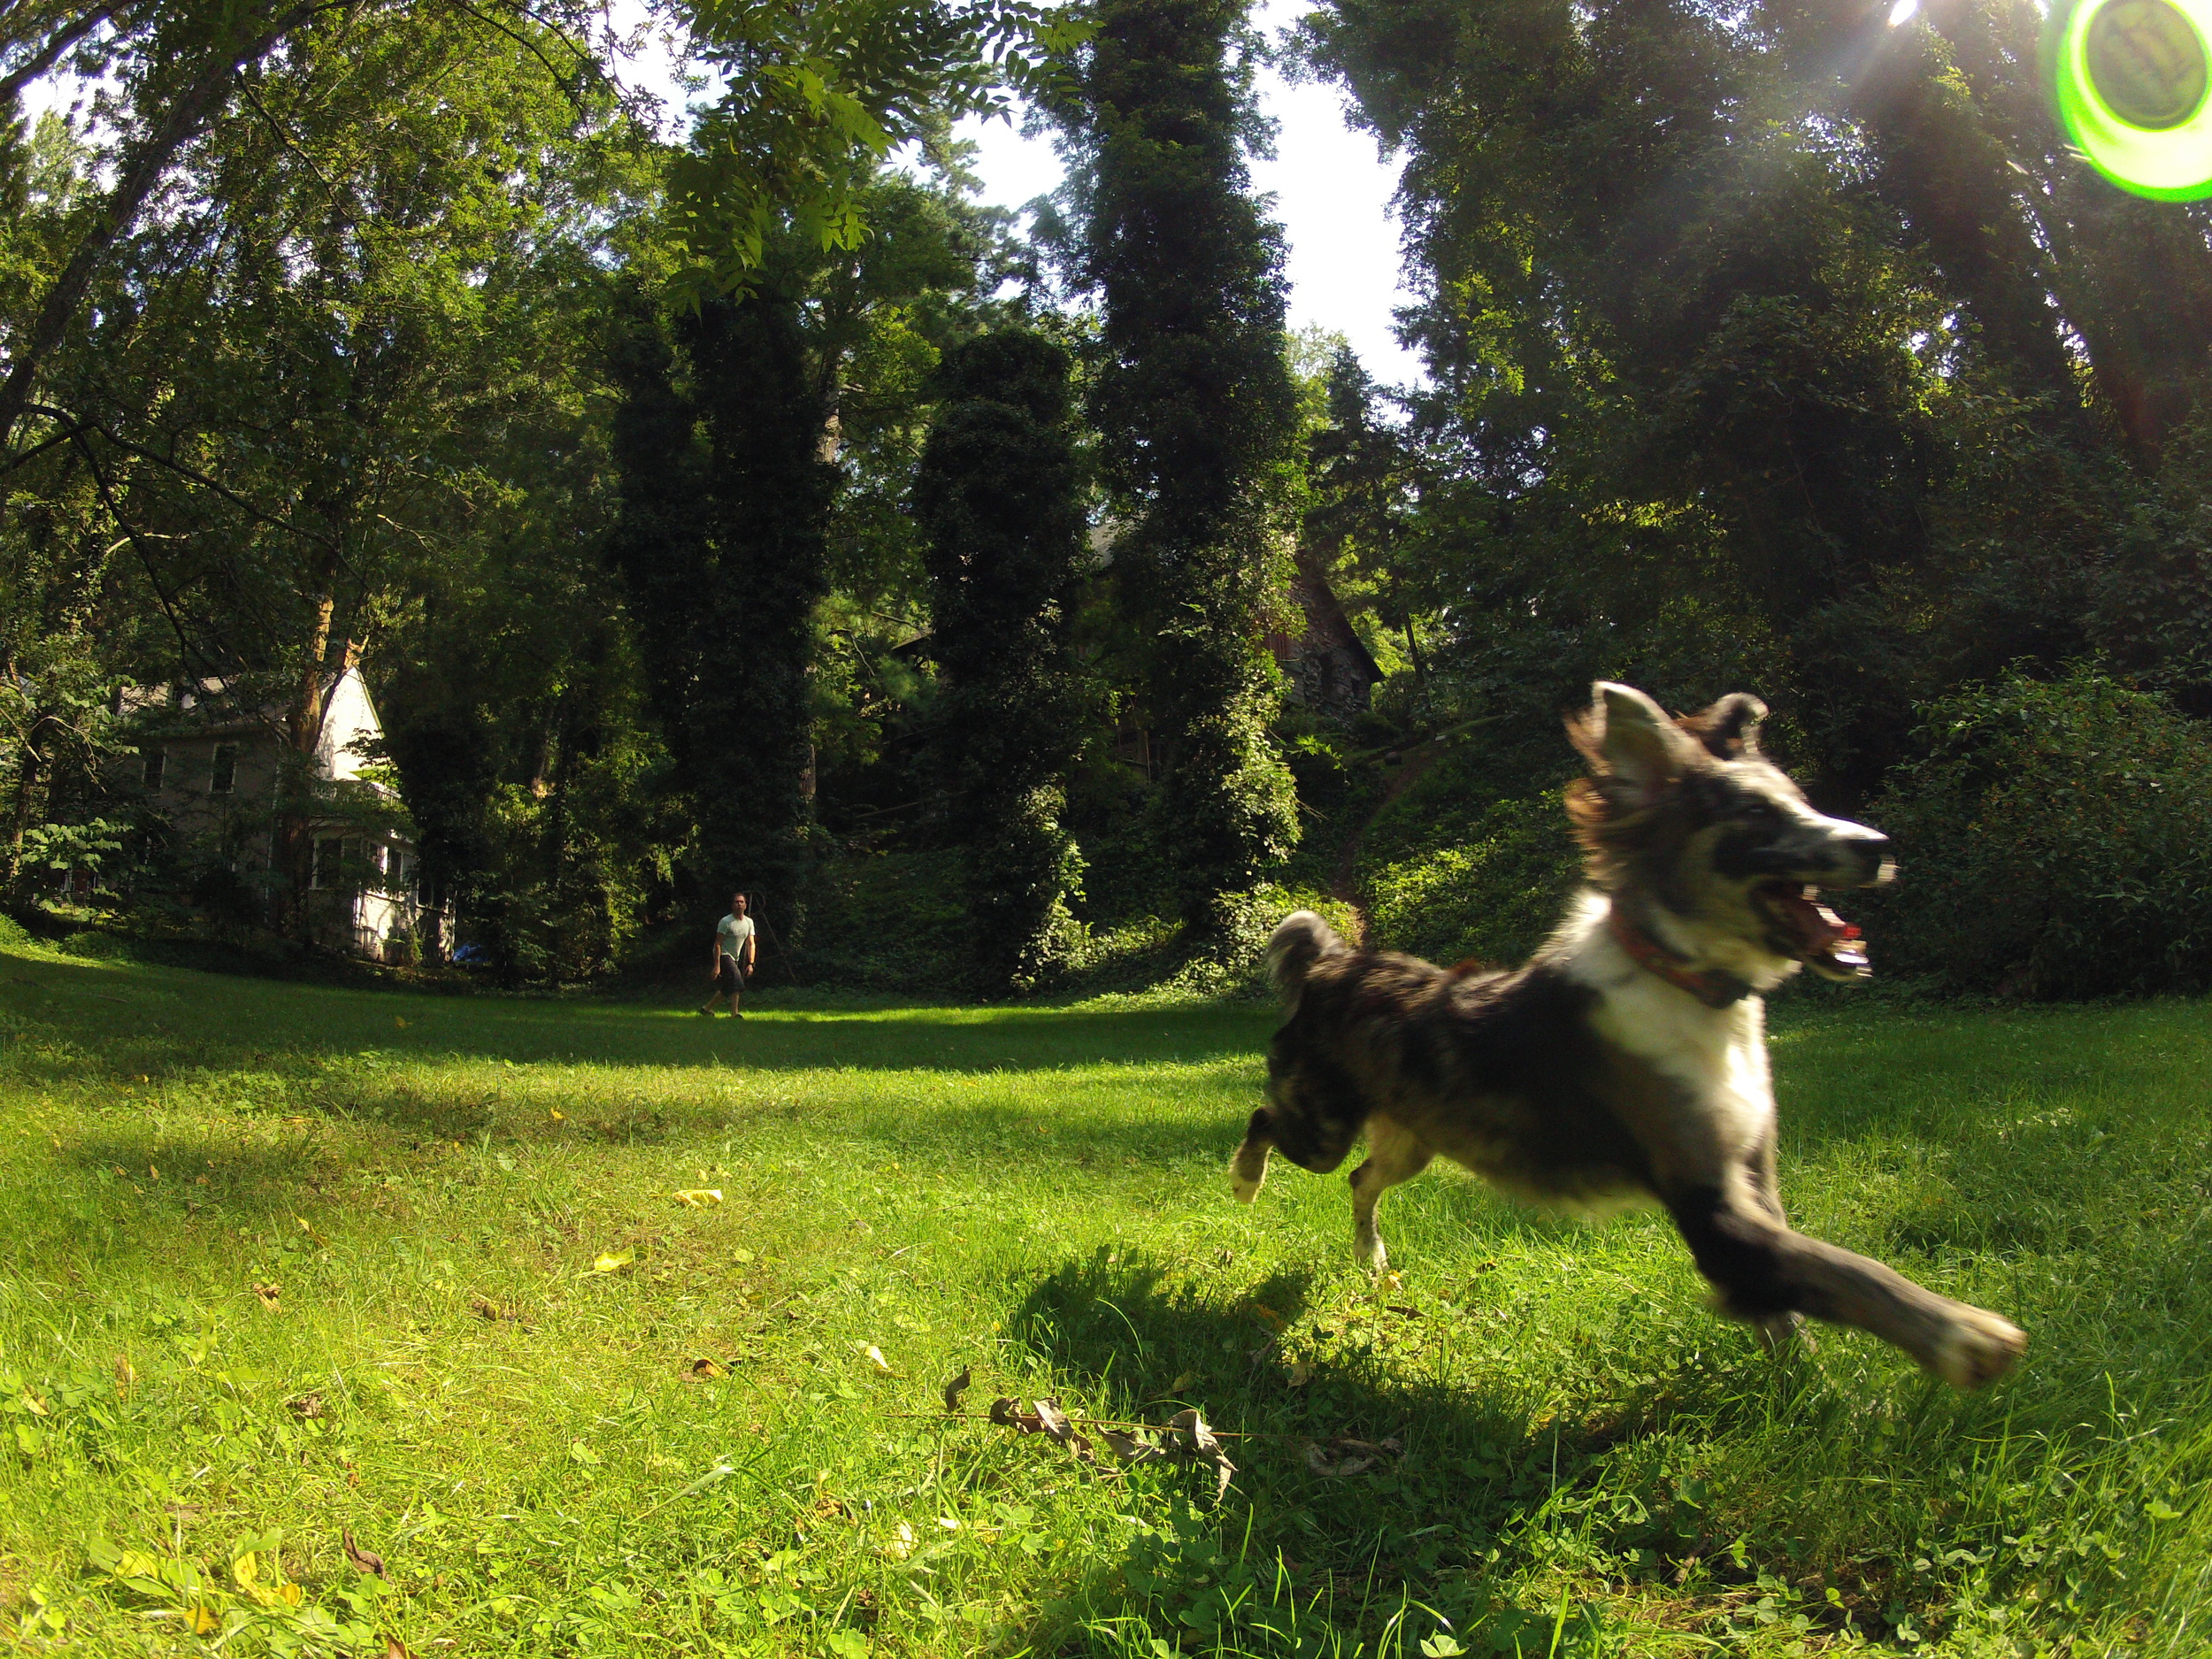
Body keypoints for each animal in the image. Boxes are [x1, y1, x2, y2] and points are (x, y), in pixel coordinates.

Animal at [1239, 681, 2026, 1398]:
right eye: (1755, 813)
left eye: (1800, 799)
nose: (1879, 845)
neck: (1682, 979)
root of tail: (1334, 961)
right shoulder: (1712, 1206)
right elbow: (1847, 1270)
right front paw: (1964, 1335)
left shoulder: (1752, 1179)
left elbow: (1793, 1305)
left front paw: (1811, 1393)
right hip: (1322, 1123)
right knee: (1268, 1119)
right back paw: (1246, 1179)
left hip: (1417, 1138)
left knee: (1361, 1179)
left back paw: (1371, 1256)